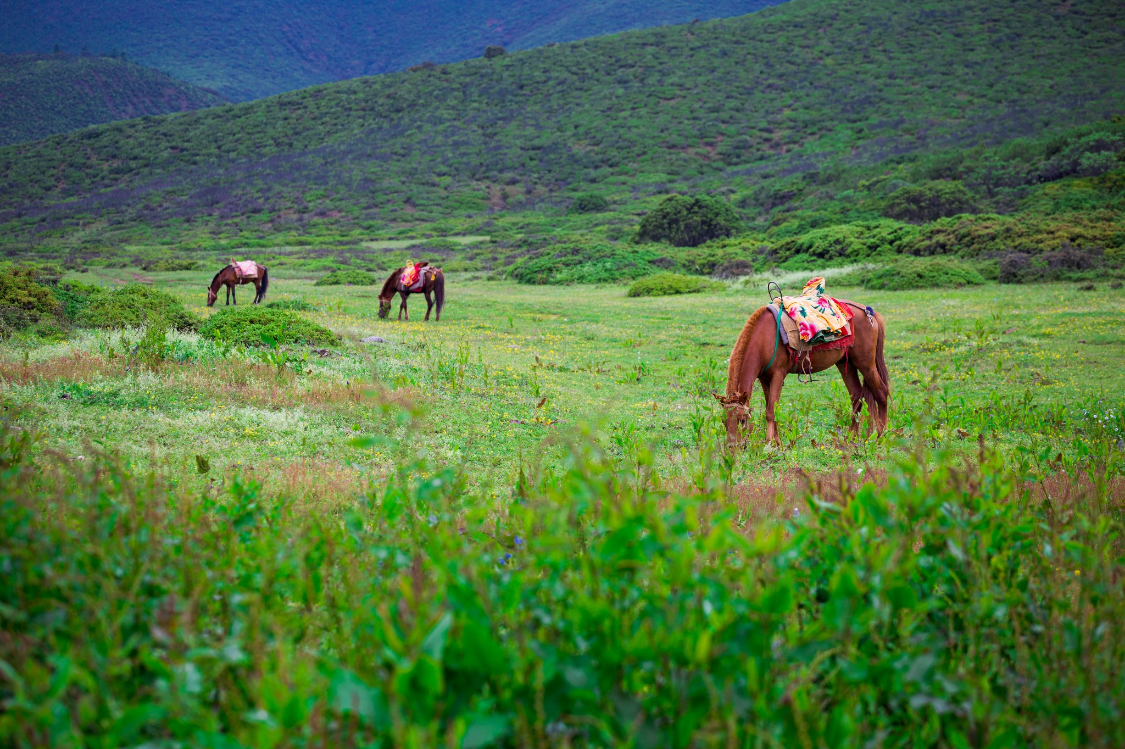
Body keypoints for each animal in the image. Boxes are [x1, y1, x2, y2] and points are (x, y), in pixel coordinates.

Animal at [715, 301, 891, 443]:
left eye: (742, 420)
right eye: (724, 421)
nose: (732, 448)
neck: (763, 340)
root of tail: (870, 313)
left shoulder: (778, 375)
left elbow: (771, 411)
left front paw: (770, 444)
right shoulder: (765, 378)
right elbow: (770, 408)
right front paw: (777, 442)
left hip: (866, 364)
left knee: (881, 393)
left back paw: (880, 437)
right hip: (845, 364)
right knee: (856, 397)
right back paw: (850, 439)